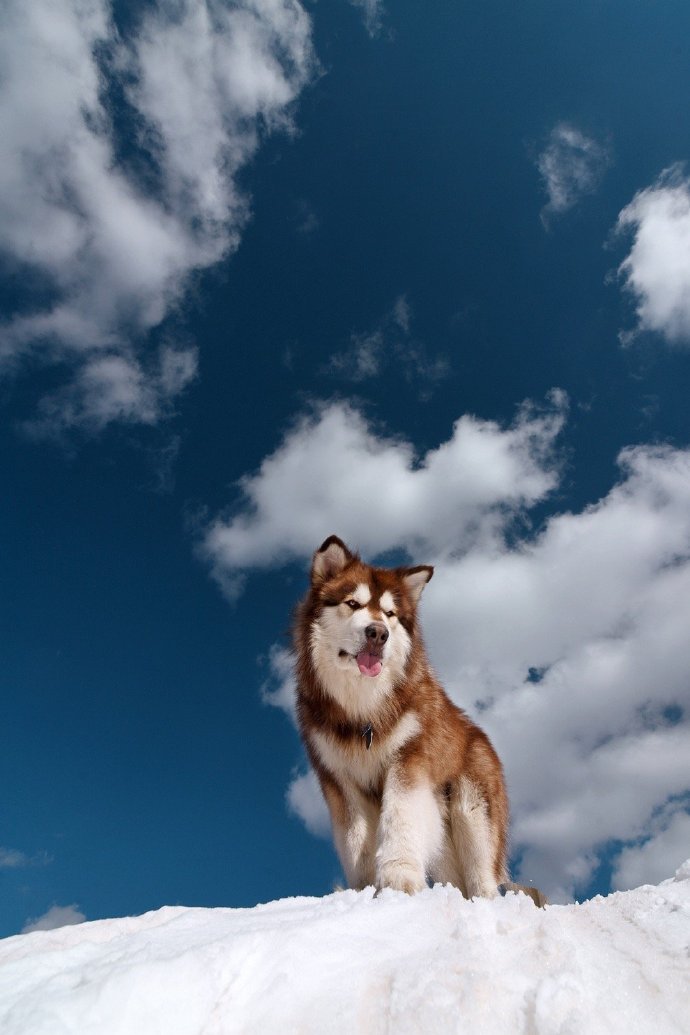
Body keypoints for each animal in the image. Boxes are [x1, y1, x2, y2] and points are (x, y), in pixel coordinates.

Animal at [291, 538, 523, 902]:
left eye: (390, 614)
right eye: (352, 603)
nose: (377, 633)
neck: (363, 712)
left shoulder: (409, 761)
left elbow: (400, 816)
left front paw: (399, 879)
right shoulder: (340, 780)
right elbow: (355, 839)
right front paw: (365, 890)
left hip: (472, 814)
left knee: (482, 876)